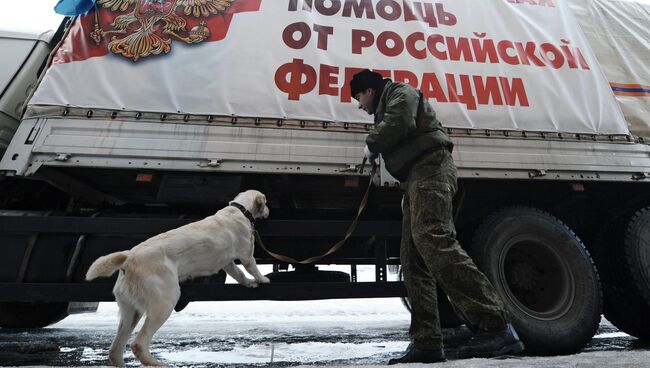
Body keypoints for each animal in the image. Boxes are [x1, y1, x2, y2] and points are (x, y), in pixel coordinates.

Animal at [85, 190, 270, 366]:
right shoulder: (246, 255)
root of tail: (129, 258)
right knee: (138, 344)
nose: (269, 211)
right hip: (164, 302)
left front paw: (249, 283)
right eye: (266, 202)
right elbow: (252, 268)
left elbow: (239, 274)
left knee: (115, 351)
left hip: (130, 311)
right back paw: (159, 364)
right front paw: (262, 279)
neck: (240, 209)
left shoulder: (227, 263)